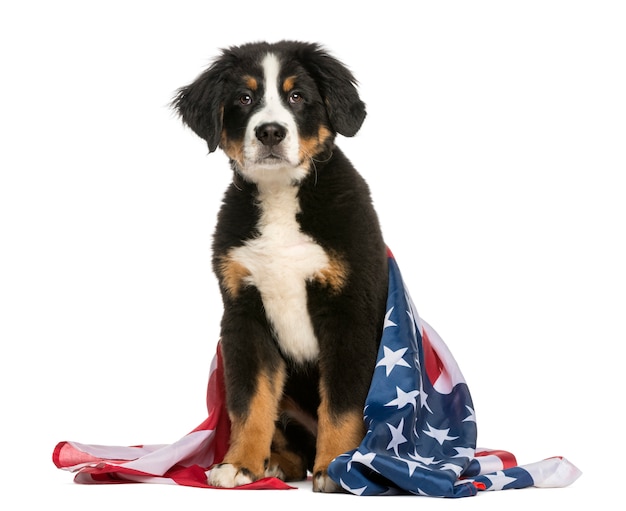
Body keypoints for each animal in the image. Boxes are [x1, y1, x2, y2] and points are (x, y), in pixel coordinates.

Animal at [171, 40, 386, 492]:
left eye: (297, 96)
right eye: (244, 98)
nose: (270, 131)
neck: (280, 196)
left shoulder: (348, 312)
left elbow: (341, 402)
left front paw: (336, 467)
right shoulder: (244, 314)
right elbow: (250, 401)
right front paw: (239, 464)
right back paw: (274, 463)